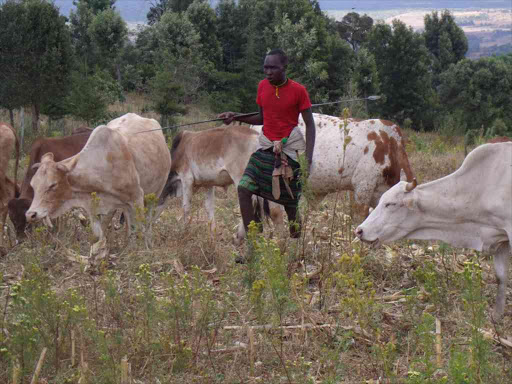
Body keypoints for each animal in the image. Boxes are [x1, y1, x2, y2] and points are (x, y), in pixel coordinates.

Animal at [25, 112, 172, 260]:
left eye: (53, 184)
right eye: (33, 185)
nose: (31, 214)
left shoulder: (137, 198)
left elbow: (139, 229)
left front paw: (140, 252)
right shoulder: (94, 208)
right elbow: (99, 236)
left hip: (155, 194)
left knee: (148, 222)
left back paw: (147, 242)